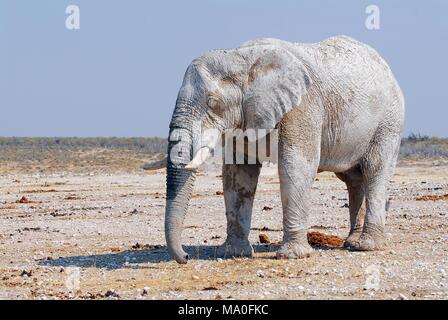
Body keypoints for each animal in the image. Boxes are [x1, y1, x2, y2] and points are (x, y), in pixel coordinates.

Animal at [145, 35, 404, 264]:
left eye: (212, 102)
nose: (186, 257)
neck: (243, 57)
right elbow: (238, 174)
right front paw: (233, 253)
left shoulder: (303, 107)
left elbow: (297, 166)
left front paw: (293, 256)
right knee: (353, 179)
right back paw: (351, 242)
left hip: (389, 123)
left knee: (375, 172)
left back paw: (365, 246)